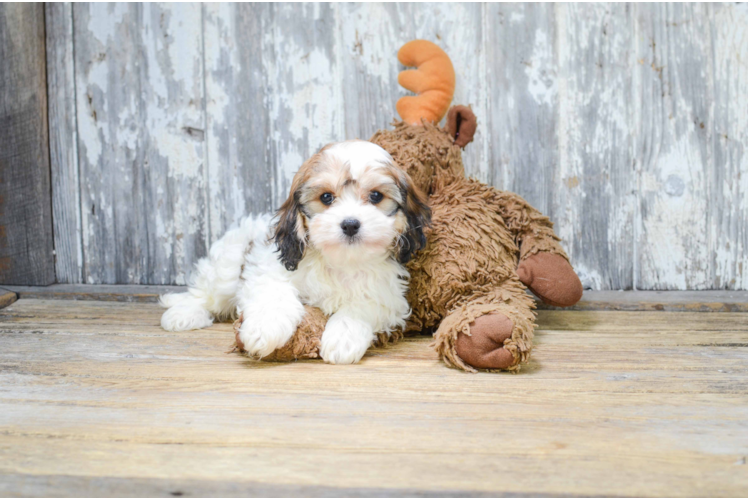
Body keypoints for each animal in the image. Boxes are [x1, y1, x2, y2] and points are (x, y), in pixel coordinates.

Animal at [161, 141, 430, 364]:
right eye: (326, 197)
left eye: (375, 196)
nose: (350, 224)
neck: (341, 260)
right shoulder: (267, 269)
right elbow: (275, 294)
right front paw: (263, 330)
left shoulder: (388, 296)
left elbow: (362, 306)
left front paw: (343, 338)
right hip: (227, 263)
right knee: (206, 294)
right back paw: (183, 314)